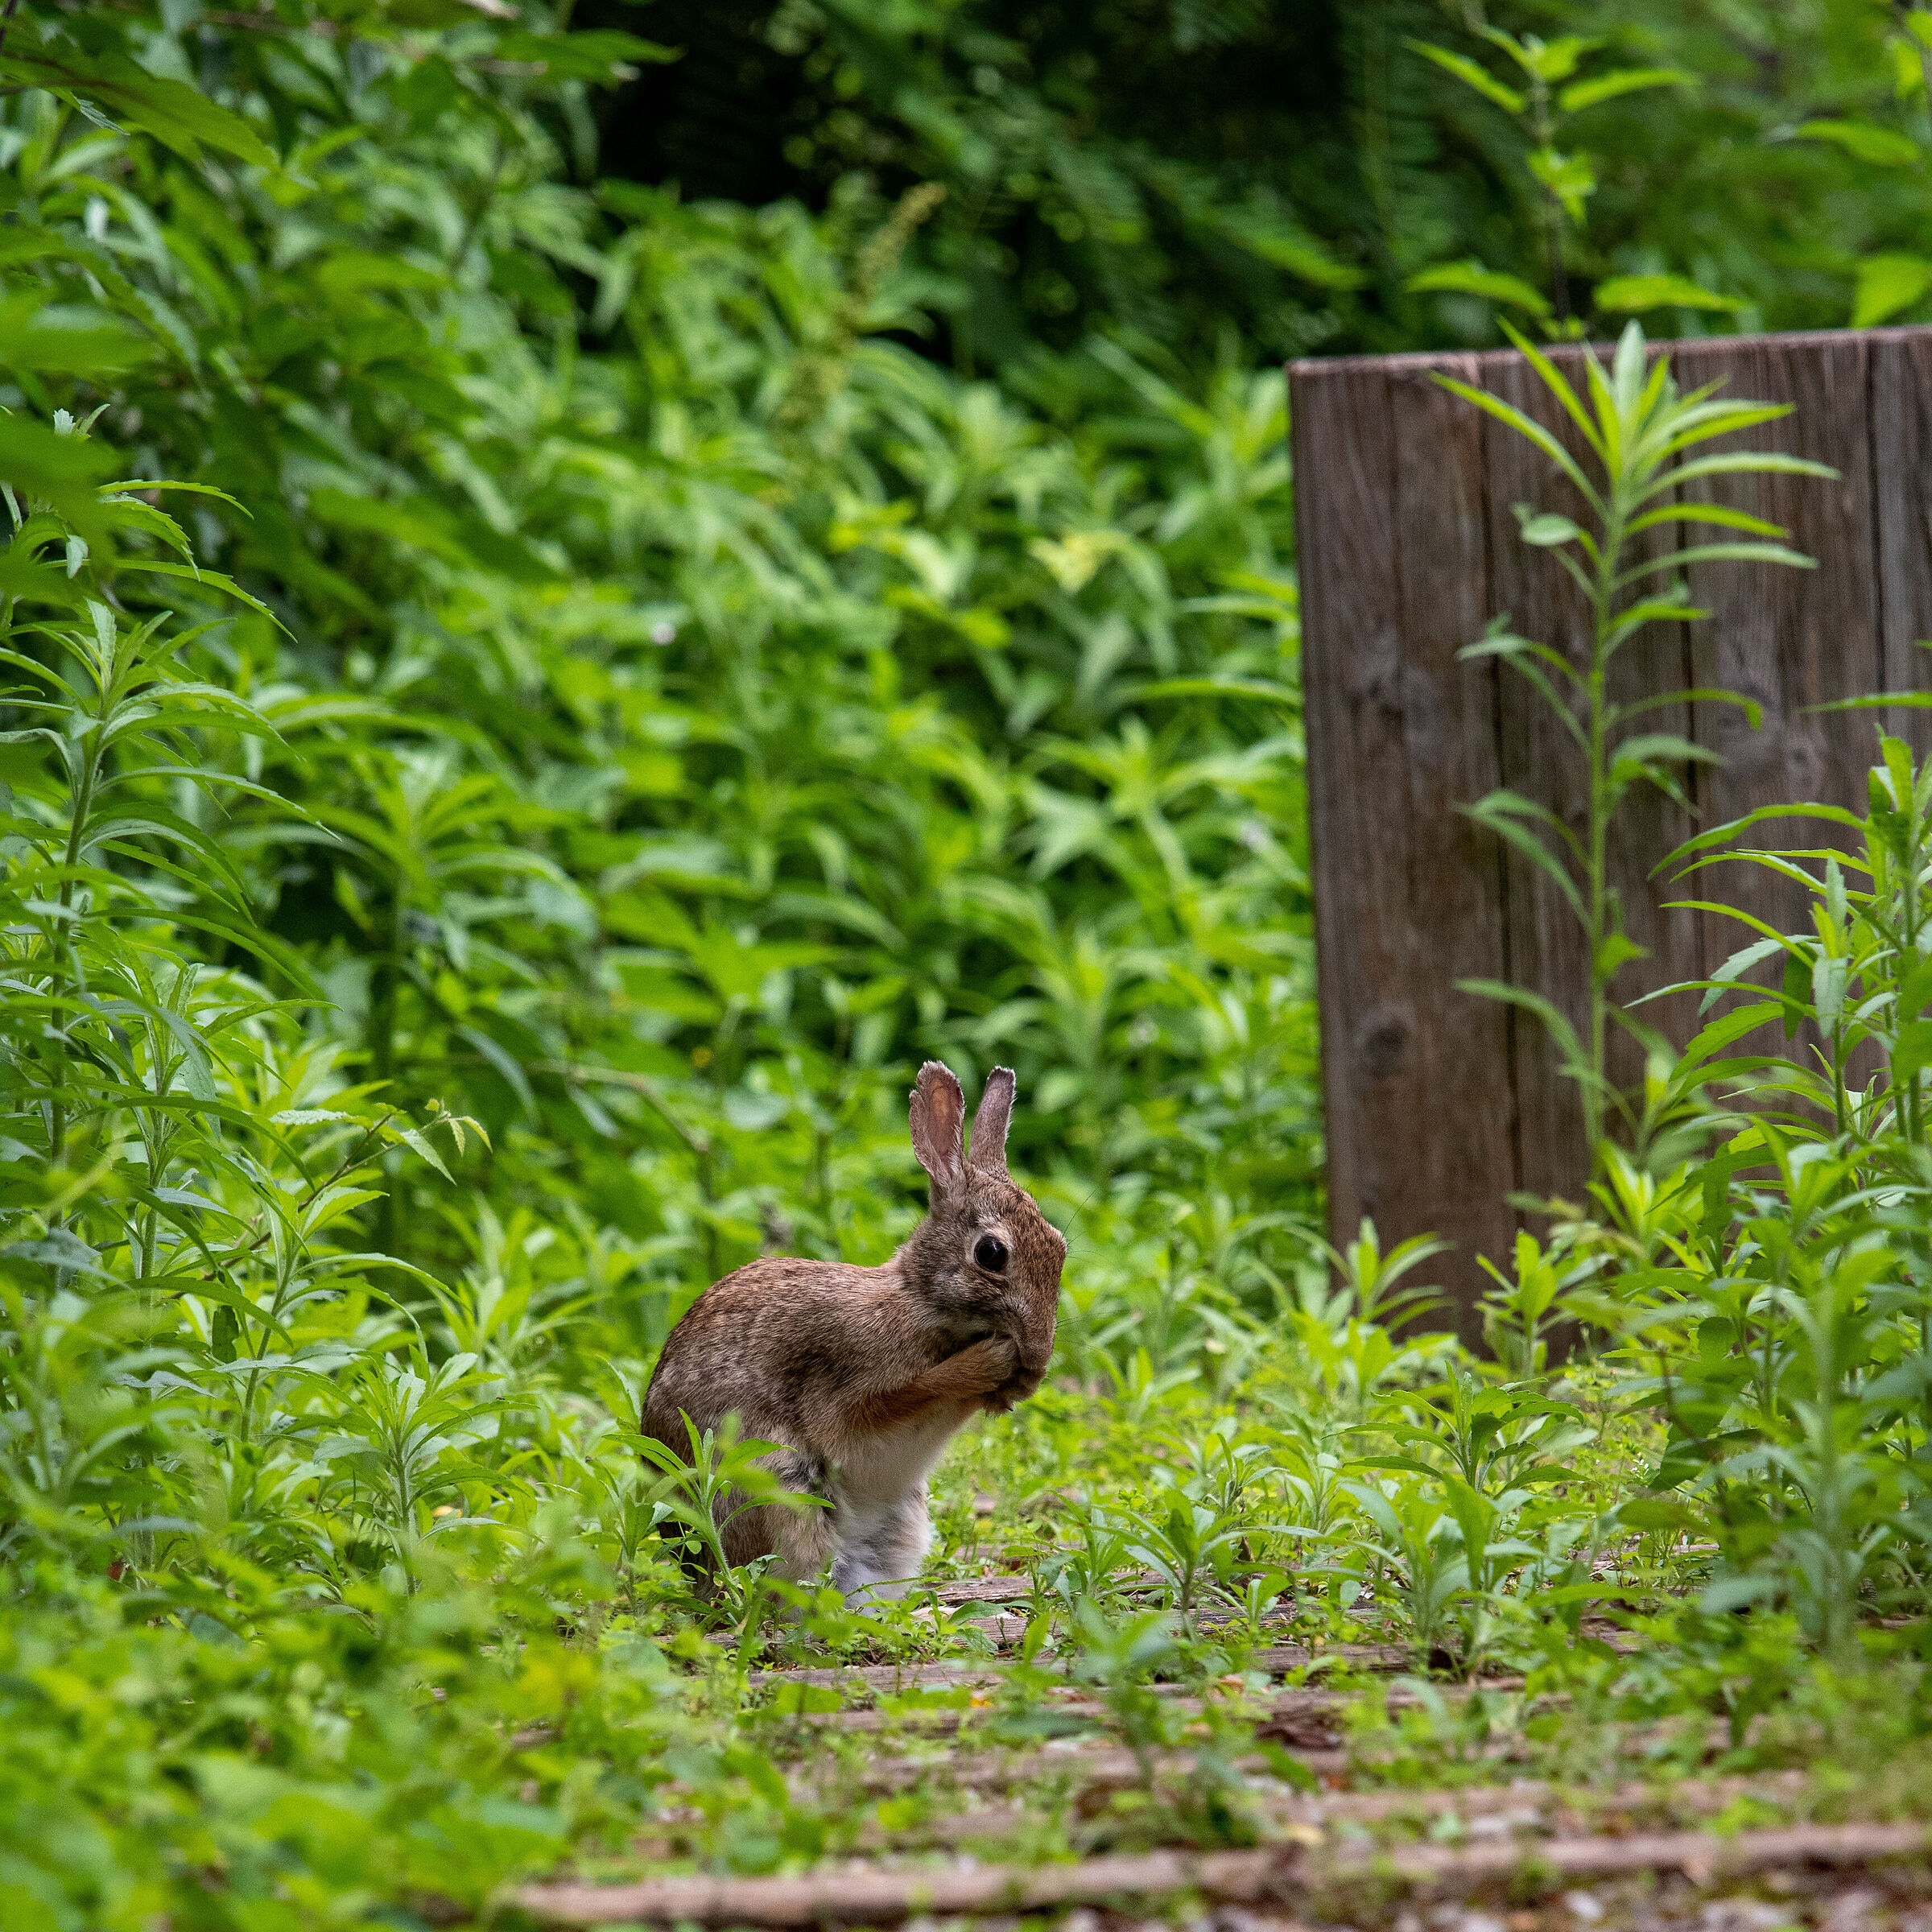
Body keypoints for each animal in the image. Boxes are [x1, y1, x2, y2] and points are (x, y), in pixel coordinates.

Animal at [641, 1061, 1064, 1602]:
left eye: (1060, 1246)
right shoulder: (852, 1387)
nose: (1038, 1354)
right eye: (991, 1254)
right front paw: (993, 1364)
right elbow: (915, 1394)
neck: (920, 1302)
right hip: (782, 1492)